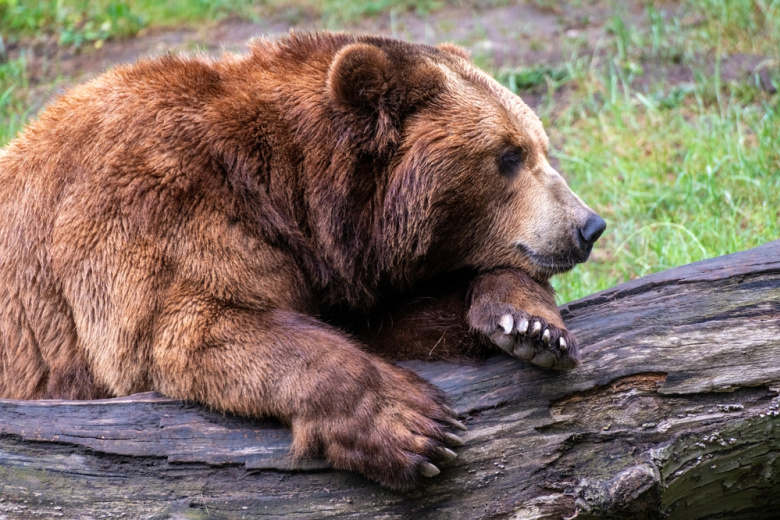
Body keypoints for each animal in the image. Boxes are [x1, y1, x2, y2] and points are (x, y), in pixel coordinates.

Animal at [0, 33, 605, 489]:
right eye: (508, 155)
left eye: (539, 145)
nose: (588, 226)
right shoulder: (153, 212)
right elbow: (194, 330)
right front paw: (414, 427)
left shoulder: (337, 279)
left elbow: (405, 322)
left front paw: (530, 325)